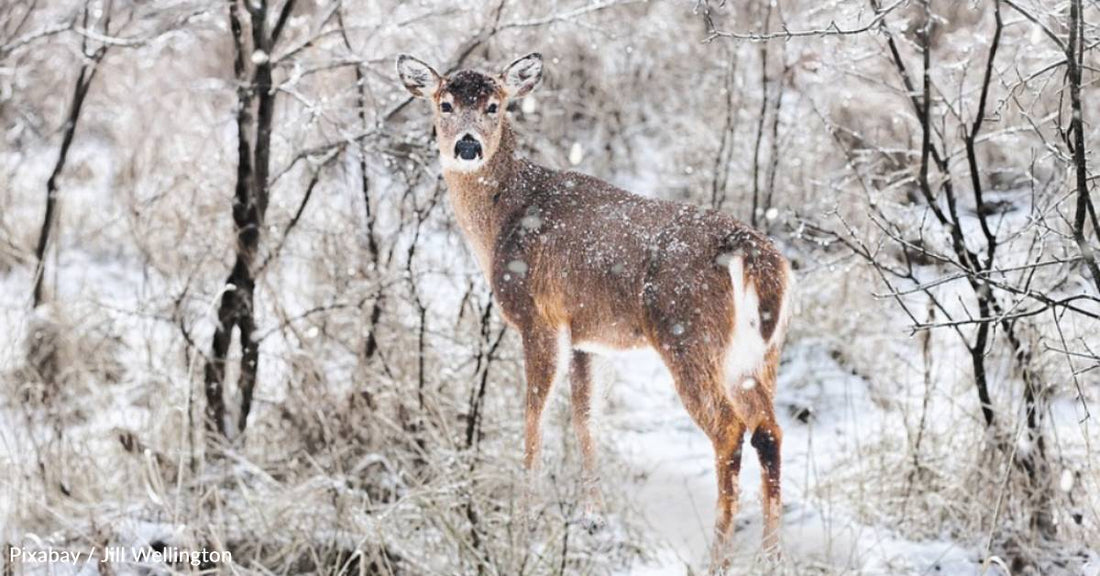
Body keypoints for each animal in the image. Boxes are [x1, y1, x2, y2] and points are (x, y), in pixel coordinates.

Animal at [400, 53, 796, 562]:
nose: (467, 146)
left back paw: (717, 559)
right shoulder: (589, 335)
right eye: (445, 103)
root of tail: (753, 256)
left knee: (730, 430)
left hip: (689, 336)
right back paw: (770, 557)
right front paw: (593, 519)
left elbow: (535, 417)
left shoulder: (539, 317)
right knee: (769, 430)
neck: (502, 219)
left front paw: (522, 524)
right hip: (759, 354)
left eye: (494, 106)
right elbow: (585, 417)